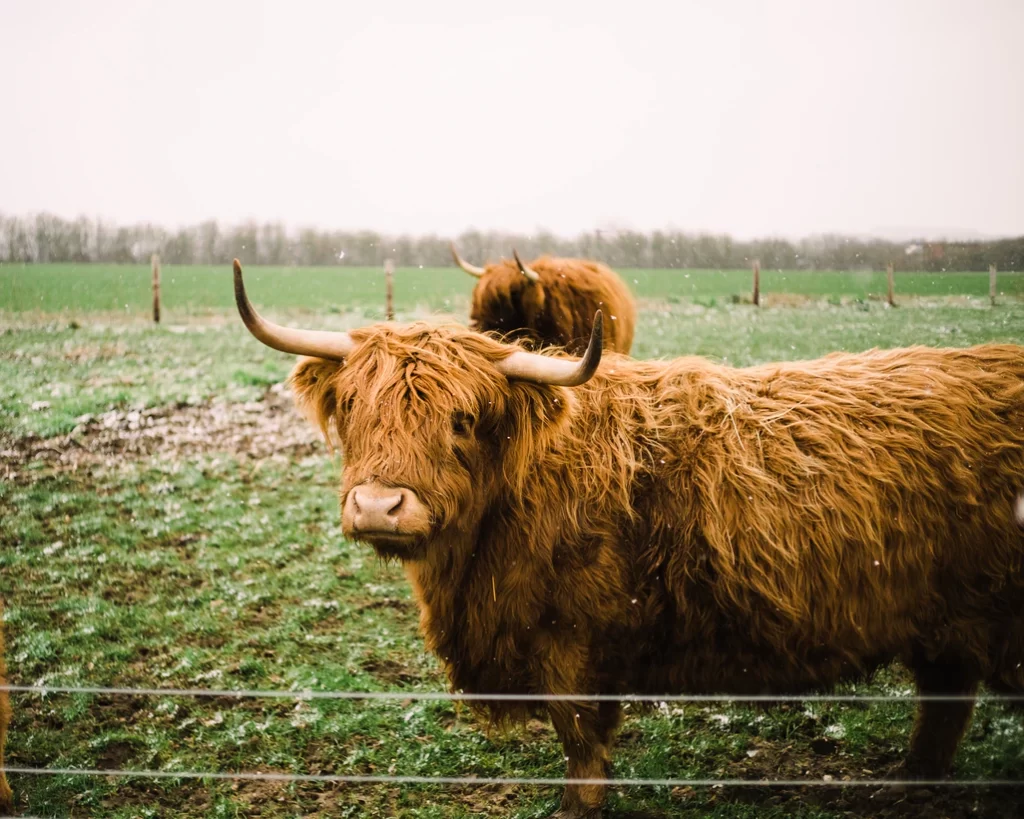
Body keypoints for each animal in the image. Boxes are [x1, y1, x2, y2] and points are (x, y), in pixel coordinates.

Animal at [235, 262, 1024, 818]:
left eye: (461, 419)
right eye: (352, 408)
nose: (379, 505)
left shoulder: (572, 640)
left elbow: (580, 734)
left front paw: (575, 807)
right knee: (945, 700)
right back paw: (909, 781)